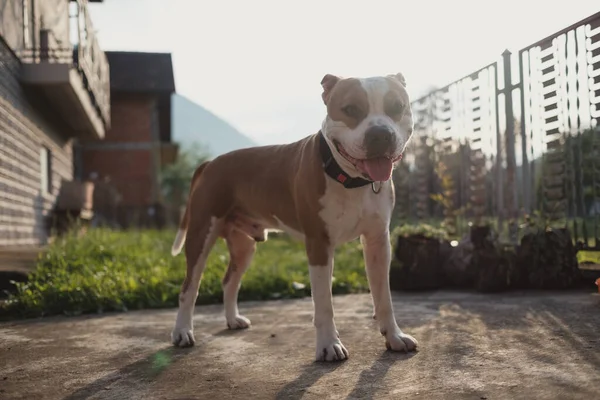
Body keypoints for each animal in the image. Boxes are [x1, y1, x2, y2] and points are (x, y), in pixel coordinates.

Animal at [170, 72, 418, 362]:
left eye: (397, 107)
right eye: (350, 109)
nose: (380, 134)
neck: (350, 180)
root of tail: (211, 163)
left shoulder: (378, 241)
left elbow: (384, 298)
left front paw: (395, 337)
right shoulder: (319, 244)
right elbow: (324, 303)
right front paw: (328, 345)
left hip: (244, 246)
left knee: (229, 280)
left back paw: (233, 320)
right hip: (200, 235)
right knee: (189, 287)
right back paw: (182, 332)